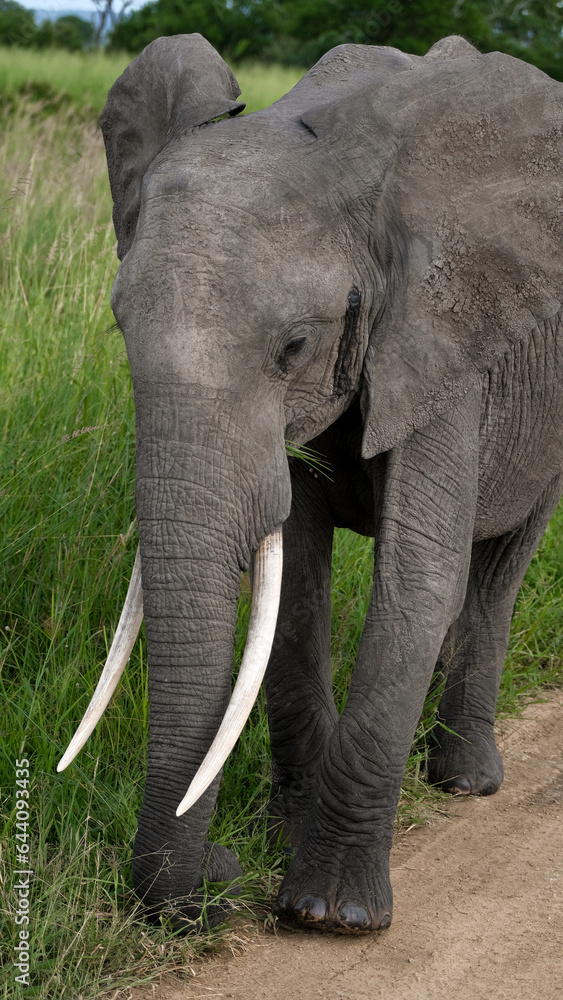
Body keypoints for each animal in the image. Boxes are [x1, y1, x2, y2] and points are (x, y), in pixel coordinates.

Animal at [58, 32, 563, 935]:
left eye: (293, 345)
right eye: (120, 325)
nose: (217, 876)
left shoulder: (436, 333)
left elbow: (414, 581)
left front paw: (331, 914)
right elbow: (294, 584)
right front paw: (278, 838)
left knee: (499, 564)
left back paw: (464, 779)